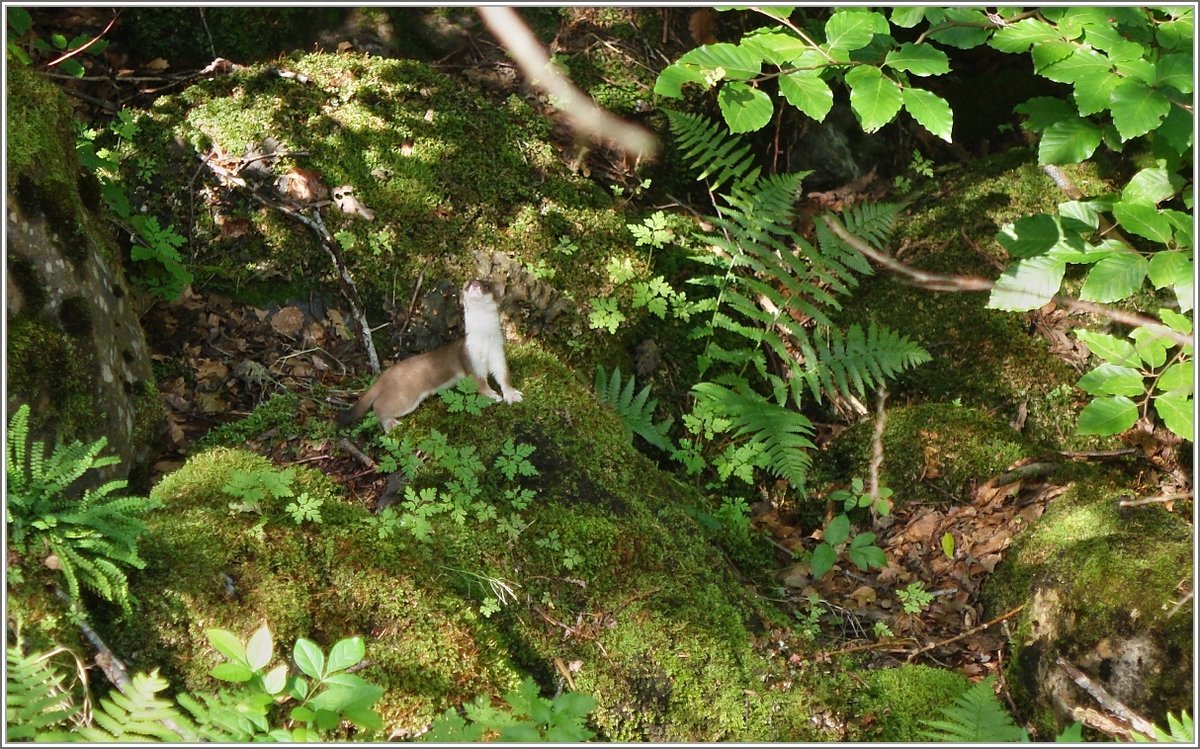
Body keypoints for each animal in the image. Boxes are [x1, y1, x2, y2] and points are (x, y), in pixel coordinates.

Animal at [340, 279, 523, 432]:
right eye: (466, 285)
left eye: (486, 285)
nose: (473, 283)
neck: (485, 339)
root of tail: (385, 375)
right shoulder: (470, 358)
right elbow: (479, 382)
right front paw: (492, 395)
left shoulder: (498, 352)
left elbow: (503, 375)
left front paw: (512, 394)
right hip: (405, 396)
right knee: (378, 406)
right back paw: (390, 423)